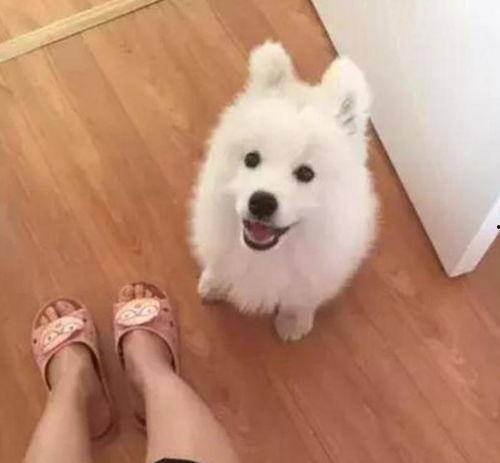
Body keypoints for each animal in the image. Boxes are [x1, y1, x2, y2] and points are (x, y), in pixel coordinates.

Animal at [190, 42, 378, 341]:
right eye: (251, 159)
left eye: (306, 173)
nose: (261, 202)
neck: (268, 253)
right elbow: (221, 265)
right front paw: (214, 283)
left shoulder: (318, 268)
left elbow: (299, 299)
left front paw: (293, 322)